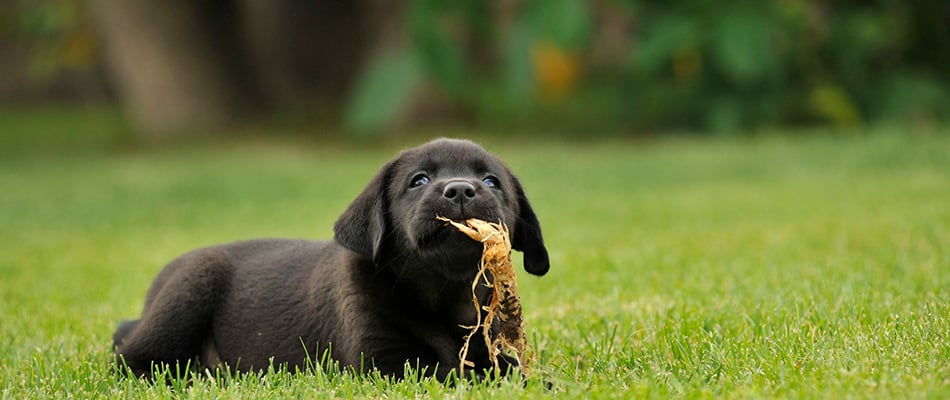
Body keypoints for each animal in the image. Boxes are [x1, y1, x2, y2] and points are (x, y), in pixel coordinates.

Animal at [113, 139, 552, 380]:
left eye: (492, 182)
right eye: (419, 180)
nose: (460, 190)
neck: (444, 294)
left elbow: (502, 367)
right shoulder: (383, 362)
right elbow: (453, 373)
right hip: (193, 285)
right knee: (133, 359)